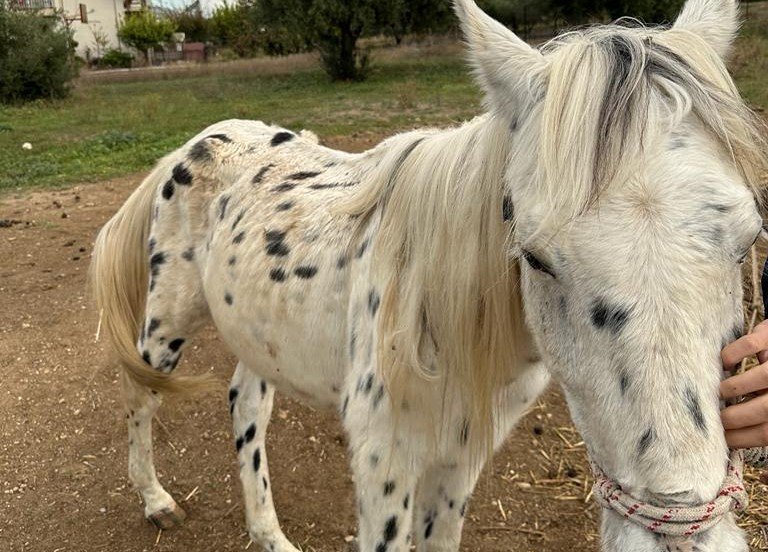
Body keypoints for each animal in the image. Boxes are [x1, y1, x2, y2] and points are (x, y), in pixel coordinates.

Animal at [91, 1, 768, 548]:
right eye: (534, 255)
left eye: (748, 240)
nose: (681, 529)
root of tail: (197, 144)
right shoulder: (383, 465)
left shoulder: (459, 459)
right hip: (167, 324)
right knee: (138, 397)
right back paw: (156, 501)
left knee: (245, 403)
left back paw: (269, 534)